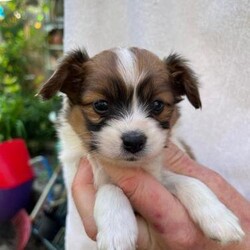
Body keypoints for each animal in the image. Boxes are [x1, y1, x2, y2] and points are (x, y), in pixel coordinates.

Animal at [39, 47, 244, 250]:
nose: (134, 141)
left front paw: (219, 217)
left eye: (157, 104)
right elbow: (109, 188)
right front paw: (117, 232)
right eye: (101, 105)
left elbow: (190, 181)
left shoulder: (161, 175)